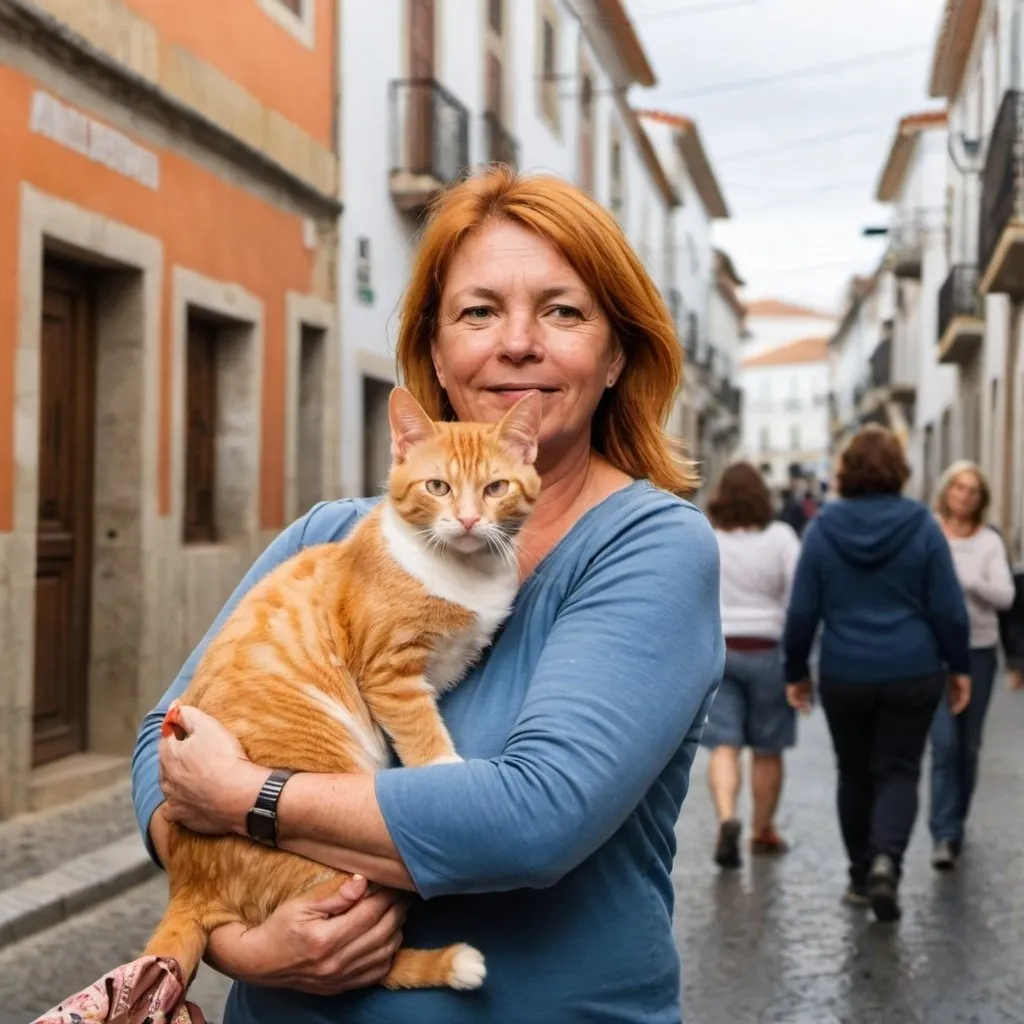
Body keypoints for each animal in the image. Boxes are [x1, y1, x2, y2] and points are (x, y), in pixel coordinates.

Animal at [146, 385, 544, 991]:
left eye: (495, 488)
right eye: (438, 487)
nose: (469, 520)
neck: (463, 573)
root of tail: (189, 884)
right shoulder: (388, 672)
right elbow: (421, 730)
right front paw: (443, 767)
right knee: (371, 968)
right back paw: (451, 963)